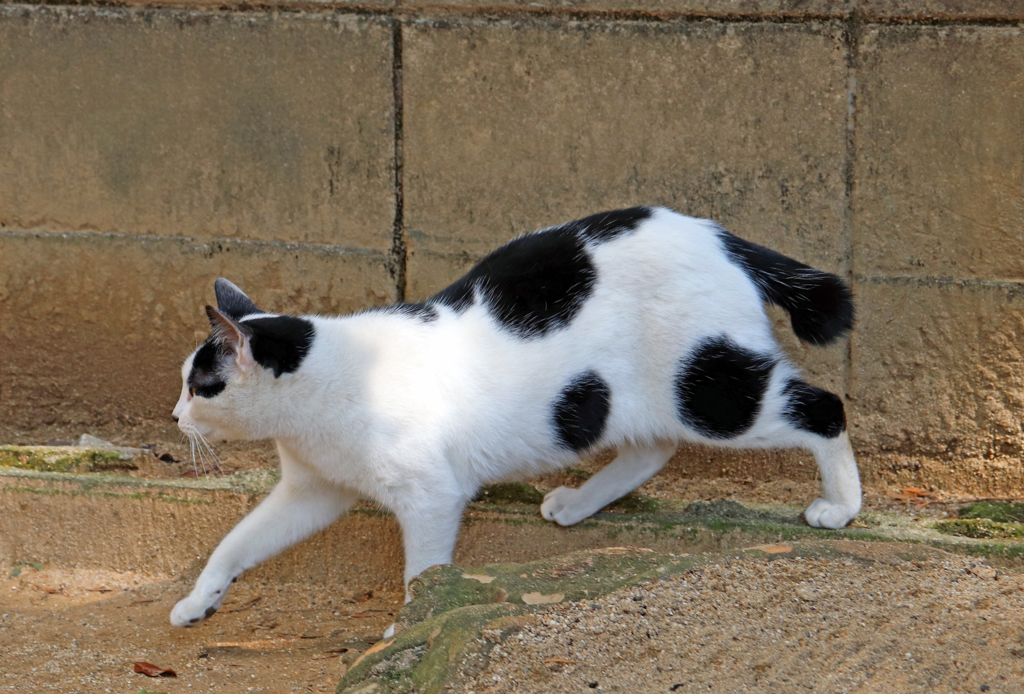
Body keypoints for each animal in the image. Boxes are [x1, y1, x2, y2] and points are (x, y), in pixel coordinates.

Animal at [167, 205, 856, 630]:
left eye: (201, 387)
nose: (174, 417)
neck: (329, 386)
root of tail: (716, 235)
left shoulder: (430, 496)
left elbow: (424, 571)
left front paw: (410, 625)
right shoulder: (311, 491)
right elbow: (236, 542)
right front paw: (200, 599)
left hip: (711, 392)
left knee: (824, 407)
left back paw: (841, 506)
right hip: (632, 400)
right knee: (652, 447)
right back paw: (577, 503)